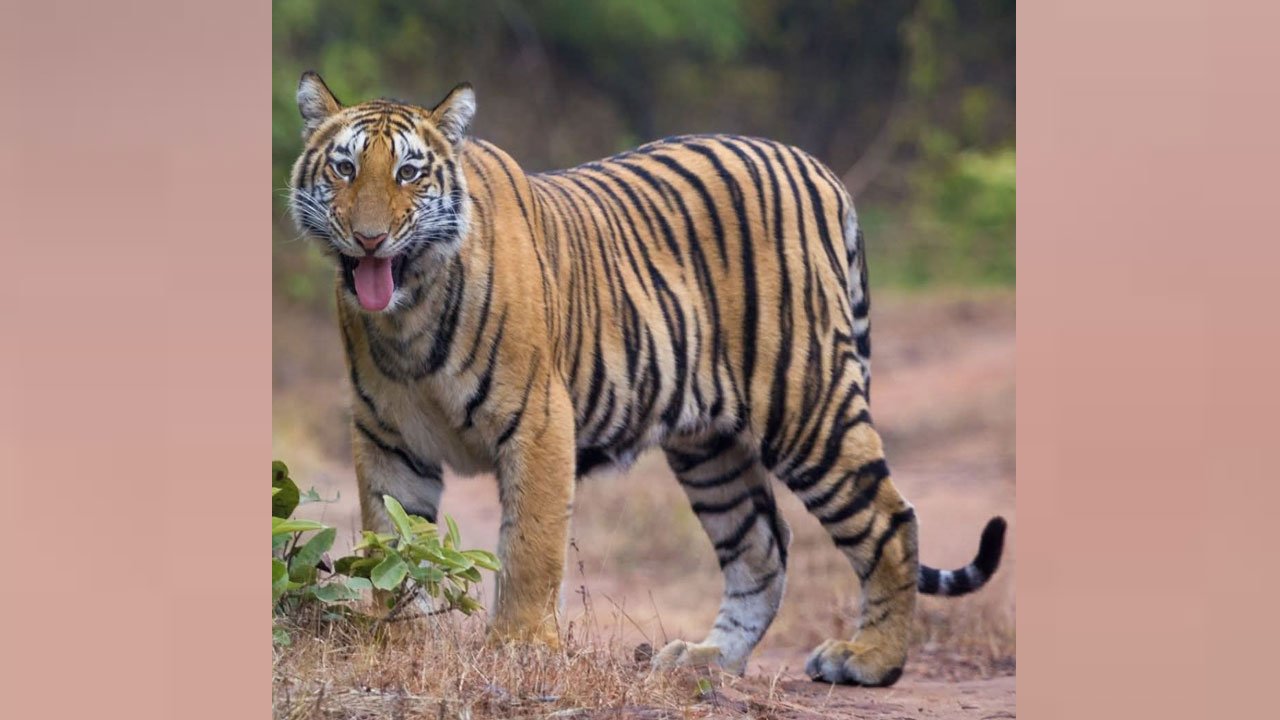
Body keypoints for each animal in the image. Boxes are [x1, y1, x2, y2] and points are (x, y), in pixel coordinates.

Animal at [288, 71, 1006, 687]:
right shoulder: (387, 439)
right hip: (711, 448)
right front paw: (396, 635)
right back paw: (708, 659)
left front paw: (520, 647)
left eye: (409, 172)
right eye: (345, 167)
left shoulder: (539, 422)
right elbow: (392, 543)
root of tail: (816, 167)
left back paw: (868, 660)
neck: (407, 312)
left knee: (890, 520)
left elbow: (529, 546)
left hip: (806, 404)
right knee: (763, 546)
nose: (370, 239)